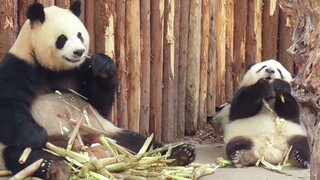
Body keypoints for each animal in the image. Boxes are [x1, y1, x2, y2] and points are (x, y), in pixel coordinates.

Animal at [0, 1, 195, 179]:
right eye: (62, 39)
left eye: (79, 35)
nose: (79, 51)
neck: (54, 68)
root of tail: (90, 151)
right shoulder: (20, 66)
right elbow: (9, 107)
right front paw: (38, 135)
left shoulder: (80, 70)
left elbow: (100, 103)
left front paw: (104, 65)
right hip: (44, 146)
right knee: (26, 155)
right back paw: (53, 167)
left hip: (105, 133)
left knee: (138, 142)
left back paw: (180, 153)